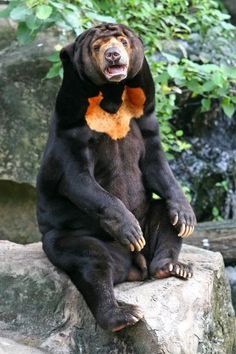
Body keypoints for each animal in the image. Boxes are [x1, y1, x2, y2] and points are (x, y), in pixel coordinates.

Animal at [36, 23, 195, 334]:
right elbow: (77, 178)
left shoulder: (144, 116)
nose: (113, 55)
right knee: (92, 262)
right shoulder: (72, 125)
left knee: (164, 220)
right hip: (66, 236)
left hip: (149, 223)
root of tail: (135, 265)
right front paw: (130, 229)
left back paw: (172, 266)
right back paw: (123, 314)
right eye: (98, 46)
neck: (111, 95)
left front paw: (186, 215)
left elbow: (156, 164)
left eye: (122, 41)